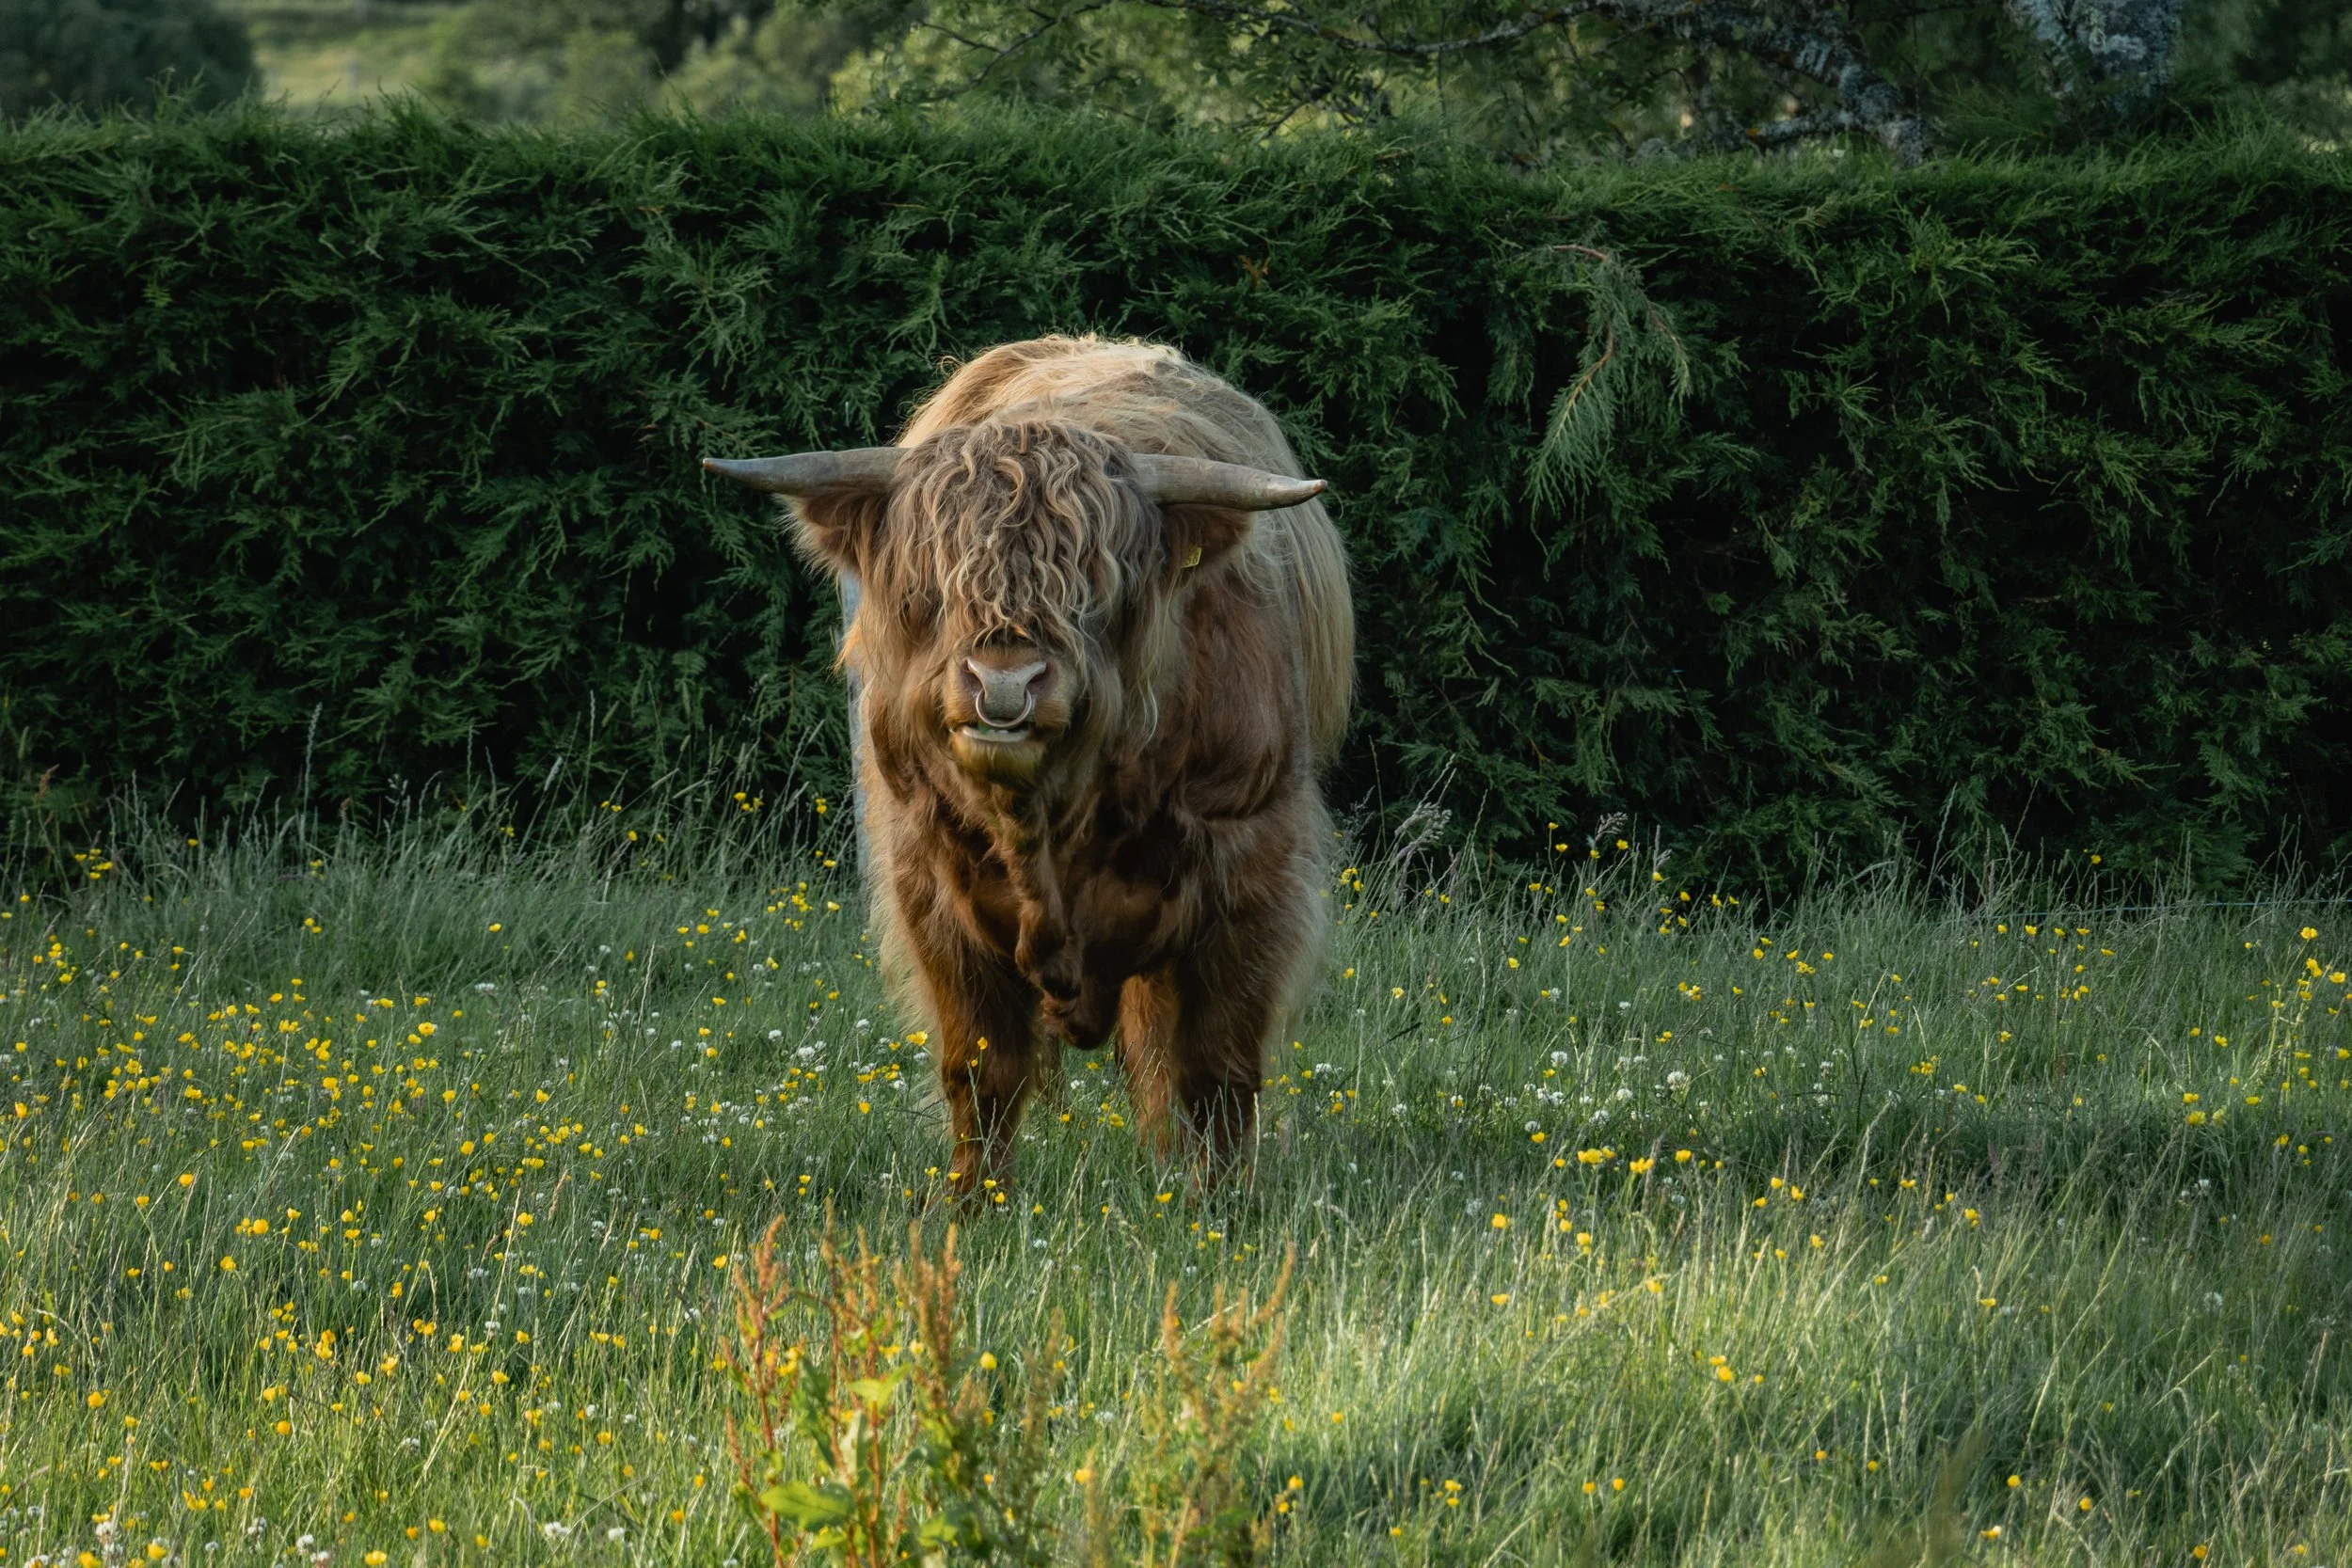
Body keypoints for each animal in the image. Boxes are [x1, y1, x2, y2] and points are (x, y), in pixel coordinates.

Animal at [706, 336, 1352, 1196]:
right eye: (928, 585)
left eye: (1097, 588)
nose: (1004, 684)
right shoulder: (929, 886)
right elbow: (981, 1068)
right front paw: (972, 1203)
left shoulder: (1252, 868)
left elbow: (1214, 1065)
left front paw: (1219, 1202)